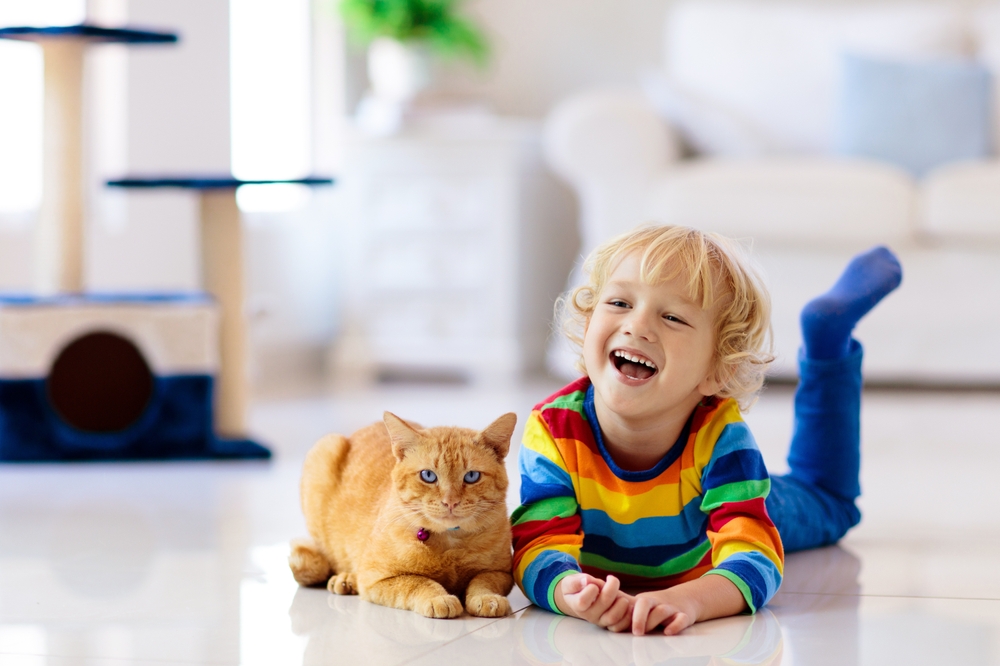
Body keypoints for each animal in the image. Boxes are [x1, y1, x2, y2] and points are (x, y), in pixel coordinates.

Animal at [286, 410, 512, 616]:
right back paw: (346, 578)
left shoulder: (501, 572)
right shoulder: (376, 579)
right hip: (324, 450)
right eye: (428, 475)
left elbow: (483, 581)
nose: (450, 502)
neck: (450, 543)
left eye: (472, 476)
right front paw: (439, 598)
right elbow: (418, 582)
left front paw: (487, 598)